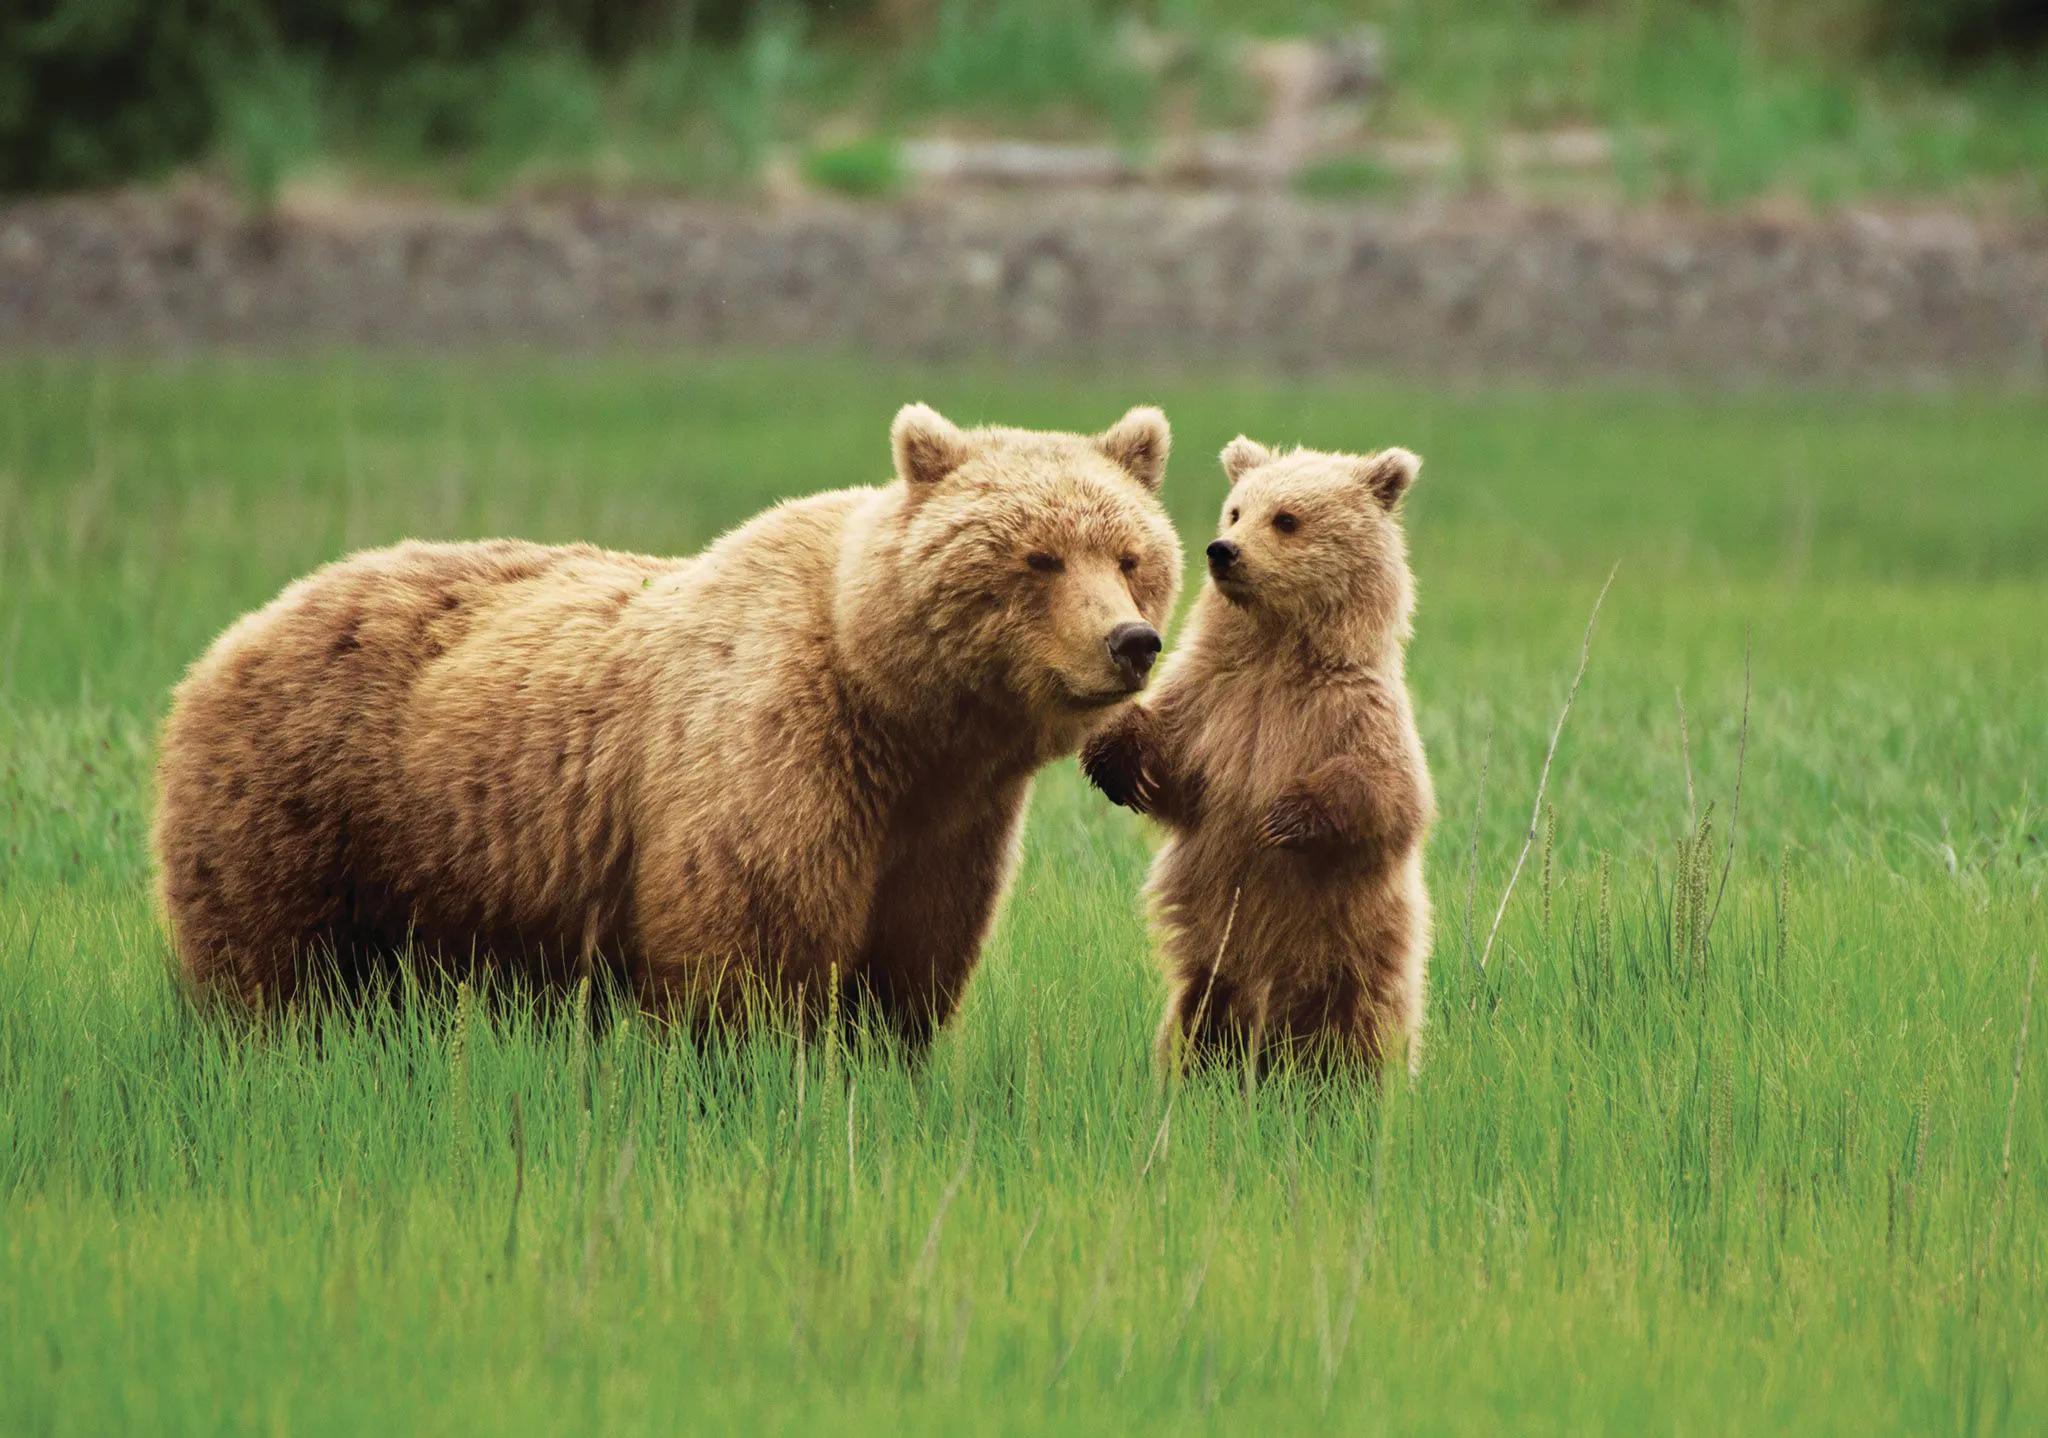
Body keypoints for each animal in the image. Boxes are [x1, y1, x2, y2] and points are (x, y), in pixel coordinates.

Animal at [153, 402, 1183, 1046]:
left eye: (1131, 556)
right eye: (1038, 558)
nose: (1131, 641)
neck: (903, 715)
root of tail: (235, 632)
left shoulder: (947, 829)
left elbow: (910, 970)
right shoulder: (780, 756)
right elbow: (749, 952)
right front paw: (757, 1069)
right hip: (305, 799)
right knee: (274, 970)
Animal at [1082, 436, 1434, 1075]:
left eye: (1287, 518)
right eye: (1236, 510)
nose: (1223, 550)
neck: (1278, 650)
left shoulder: (1355, 711)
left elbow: (1391, 796)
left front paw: (1285, 816)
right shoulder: (1216, 701)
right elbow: (1171, 757)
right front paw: (1124, 767)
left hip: (1362, 950)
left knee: (1363, 1032)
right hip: (1211, 966)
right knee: (1196, 1024)